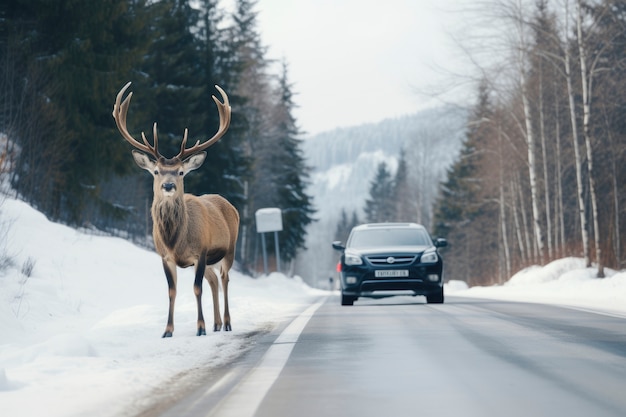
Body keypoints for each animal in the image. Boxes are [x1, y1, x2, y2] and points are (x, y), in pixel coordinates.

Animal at [112, 82, 239, 338]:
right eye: (156, 171)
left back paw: (227, 323)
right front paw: (168, 330)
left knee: (224, 278)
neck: (175, 240)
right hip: (209, 261)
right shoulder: (165, 256)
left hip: (229, 249)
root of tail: (229, 205)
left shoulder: (200, 252)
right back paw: (216, 323)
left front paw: (200, 328)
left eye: (180, 172)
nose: (168, 186)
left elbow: (196, 288)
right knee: (214, 280)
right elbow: (172, 291)